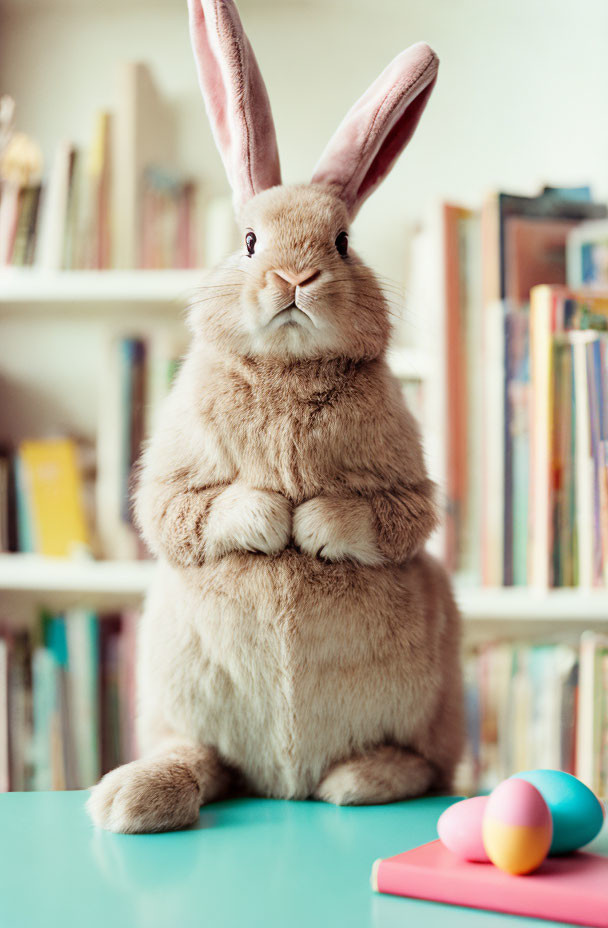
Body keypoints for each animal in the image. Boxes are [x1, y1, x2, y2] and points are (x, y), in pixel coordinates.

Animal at [85, 0, 464, 832]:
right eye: (250, 240)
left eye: (343, 241)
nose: (295, 277)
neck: (287, 369)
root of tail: (284, 781)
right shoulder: (172, 479)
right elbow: (177, 509)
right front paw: (270, 516)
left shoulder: (404, 485)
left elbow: (397, 517)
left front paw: (313, 524)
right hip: (177, 692)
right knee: (201, 760)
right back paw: (134, 796)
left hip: (433, 699)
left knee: (429, 766)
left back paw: (357, 779)